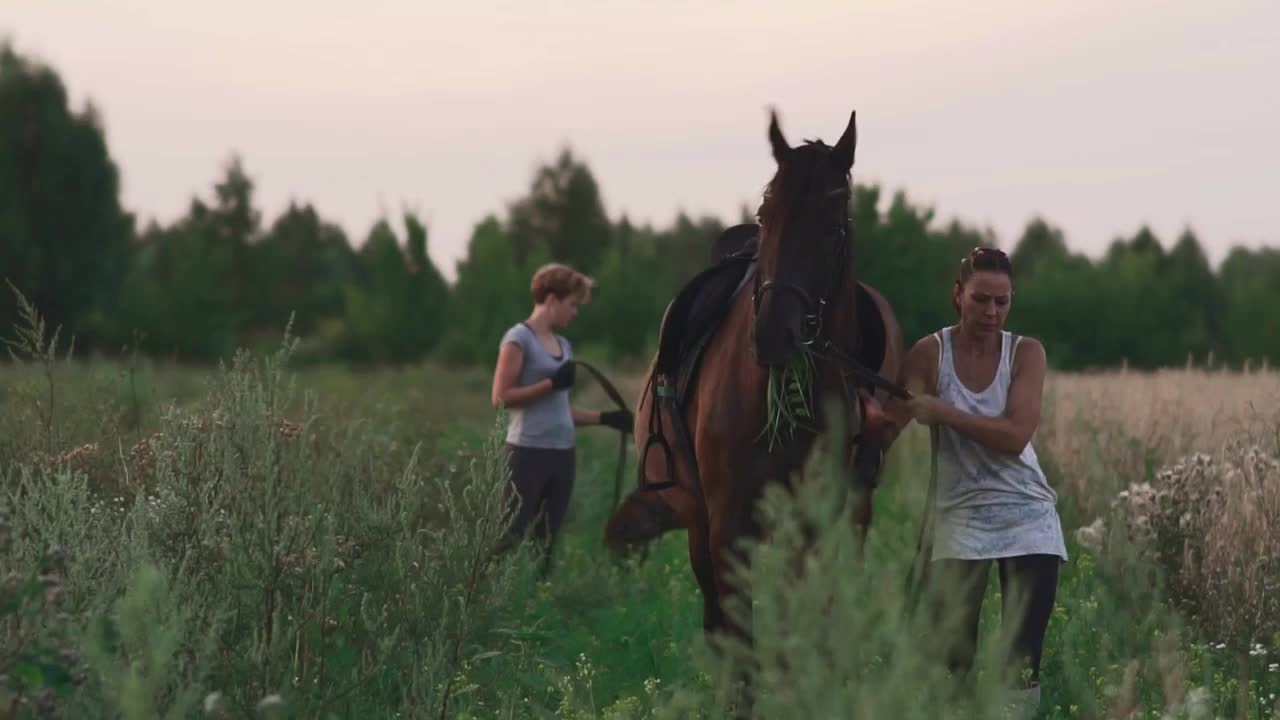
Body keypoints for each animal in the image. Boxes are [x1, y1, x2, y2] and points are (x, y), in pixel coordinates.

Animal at [614, 106, 906, 676]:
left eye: (834, 224)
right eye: (767, 214)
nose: (774, 333)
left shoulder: (815, 523)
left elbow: (802, 626)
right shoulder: (726, 525)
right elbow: (740, 640)